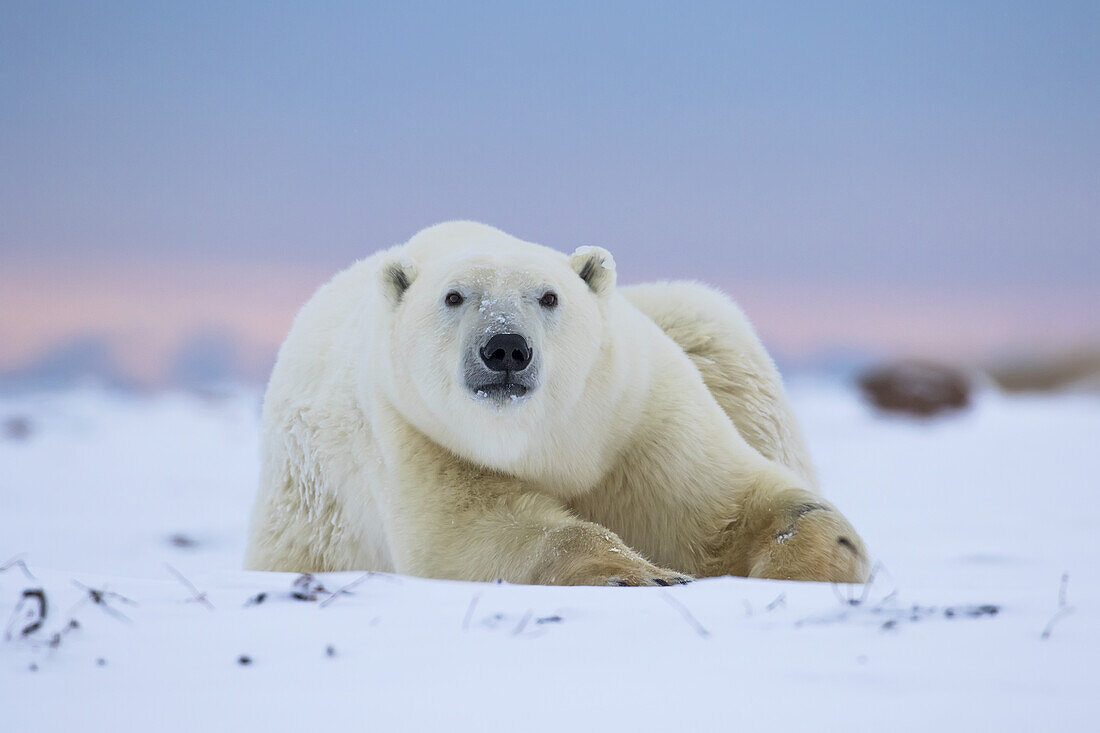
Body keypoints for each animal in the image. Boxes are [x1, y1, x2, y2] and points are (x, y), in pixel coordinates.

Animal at [243, 220, 866, 585]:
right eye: (453, 297)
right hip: (305, 521)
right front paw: (641, 575)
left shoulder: (639, 416)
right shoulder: (419, 436)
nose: (505, 348)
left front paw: (817, 560)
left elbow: (727, 508)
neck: (548, 441)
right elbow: (477, 535)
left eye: (549, 297)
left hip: (706, 336)